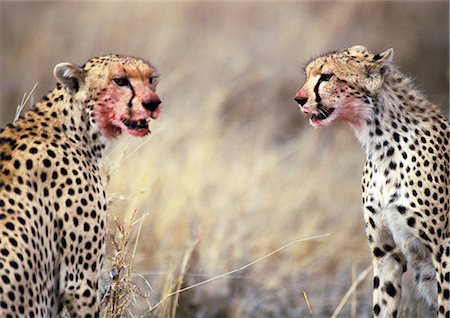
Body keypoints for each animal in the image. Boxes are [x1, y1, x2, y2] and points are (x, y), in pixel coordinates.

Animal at [296, 46, 450, 316]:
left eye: (327, 76)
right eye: (307, 76)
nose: (299, 99)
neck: (381, 142)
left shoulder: (445, 249)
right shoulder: (385, 253)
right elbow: (383, 303)